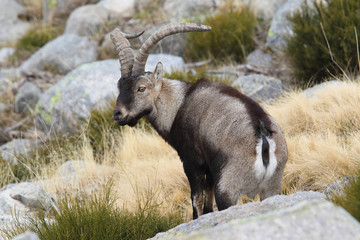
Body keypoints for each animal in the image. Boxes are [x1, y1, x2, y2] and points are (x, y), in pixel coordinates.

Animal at [111, 23, 288, 219]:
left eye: (141, 88)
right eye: (119, 86)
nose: (118, 114)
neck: (179, 103)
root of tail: (264, 138)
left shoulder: (191, 162)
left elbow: (197, 199)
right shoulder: (211, 169)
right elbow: (208, 203)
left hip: (228, 188)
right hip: (271, 188)